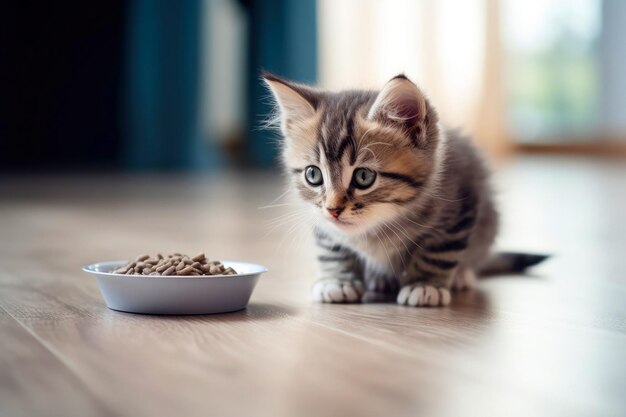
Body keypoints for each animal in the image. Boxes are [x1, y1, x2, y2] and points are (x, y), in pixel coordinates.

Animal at [260, 72, 544, 306]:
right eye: (313, 175)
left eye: (364, 177)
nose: (333, 210)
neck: (377, 228)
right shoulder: (321, 221)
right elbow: (331, 248)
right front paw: (337, 280)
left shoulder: (461, 203)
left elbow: (439, 250)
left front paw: (426, 285)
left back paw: (461, 275)